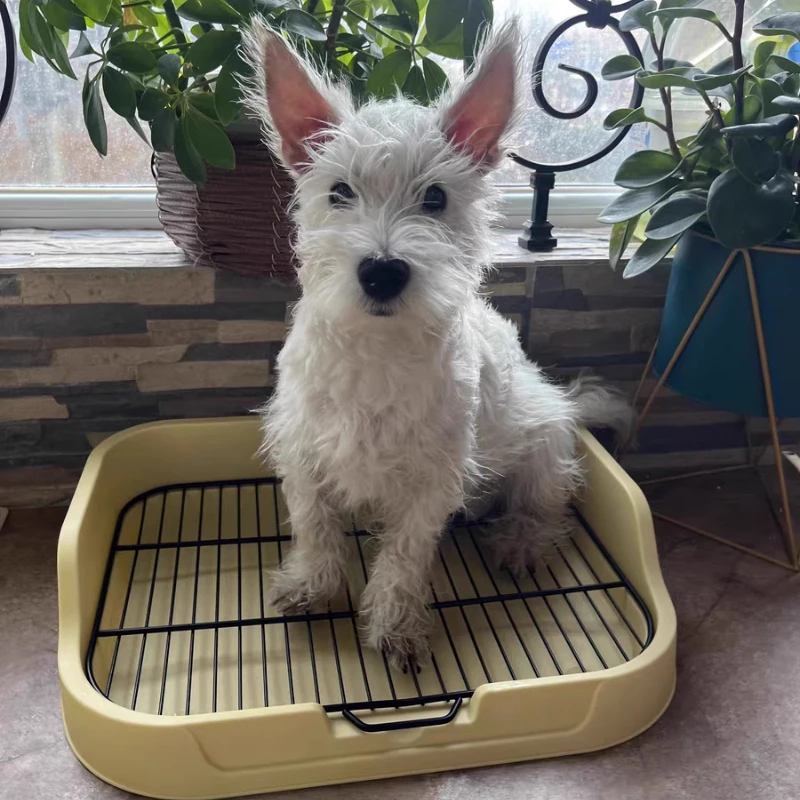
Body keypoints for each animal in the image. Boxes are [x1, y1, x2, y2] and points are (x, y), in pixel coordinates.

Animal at [243, 19, 631, 668]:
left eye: (435, 198)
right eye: (340, 191)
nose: (382, 271)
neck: (378, 349)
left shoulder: (431, 481)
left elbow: (403, 557)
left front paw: (395, 626)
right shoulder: (303, 452)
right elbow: (317, 528)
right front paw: (311, 586)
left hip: (543, 447)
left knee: (546, 509)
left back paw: (518, 542)